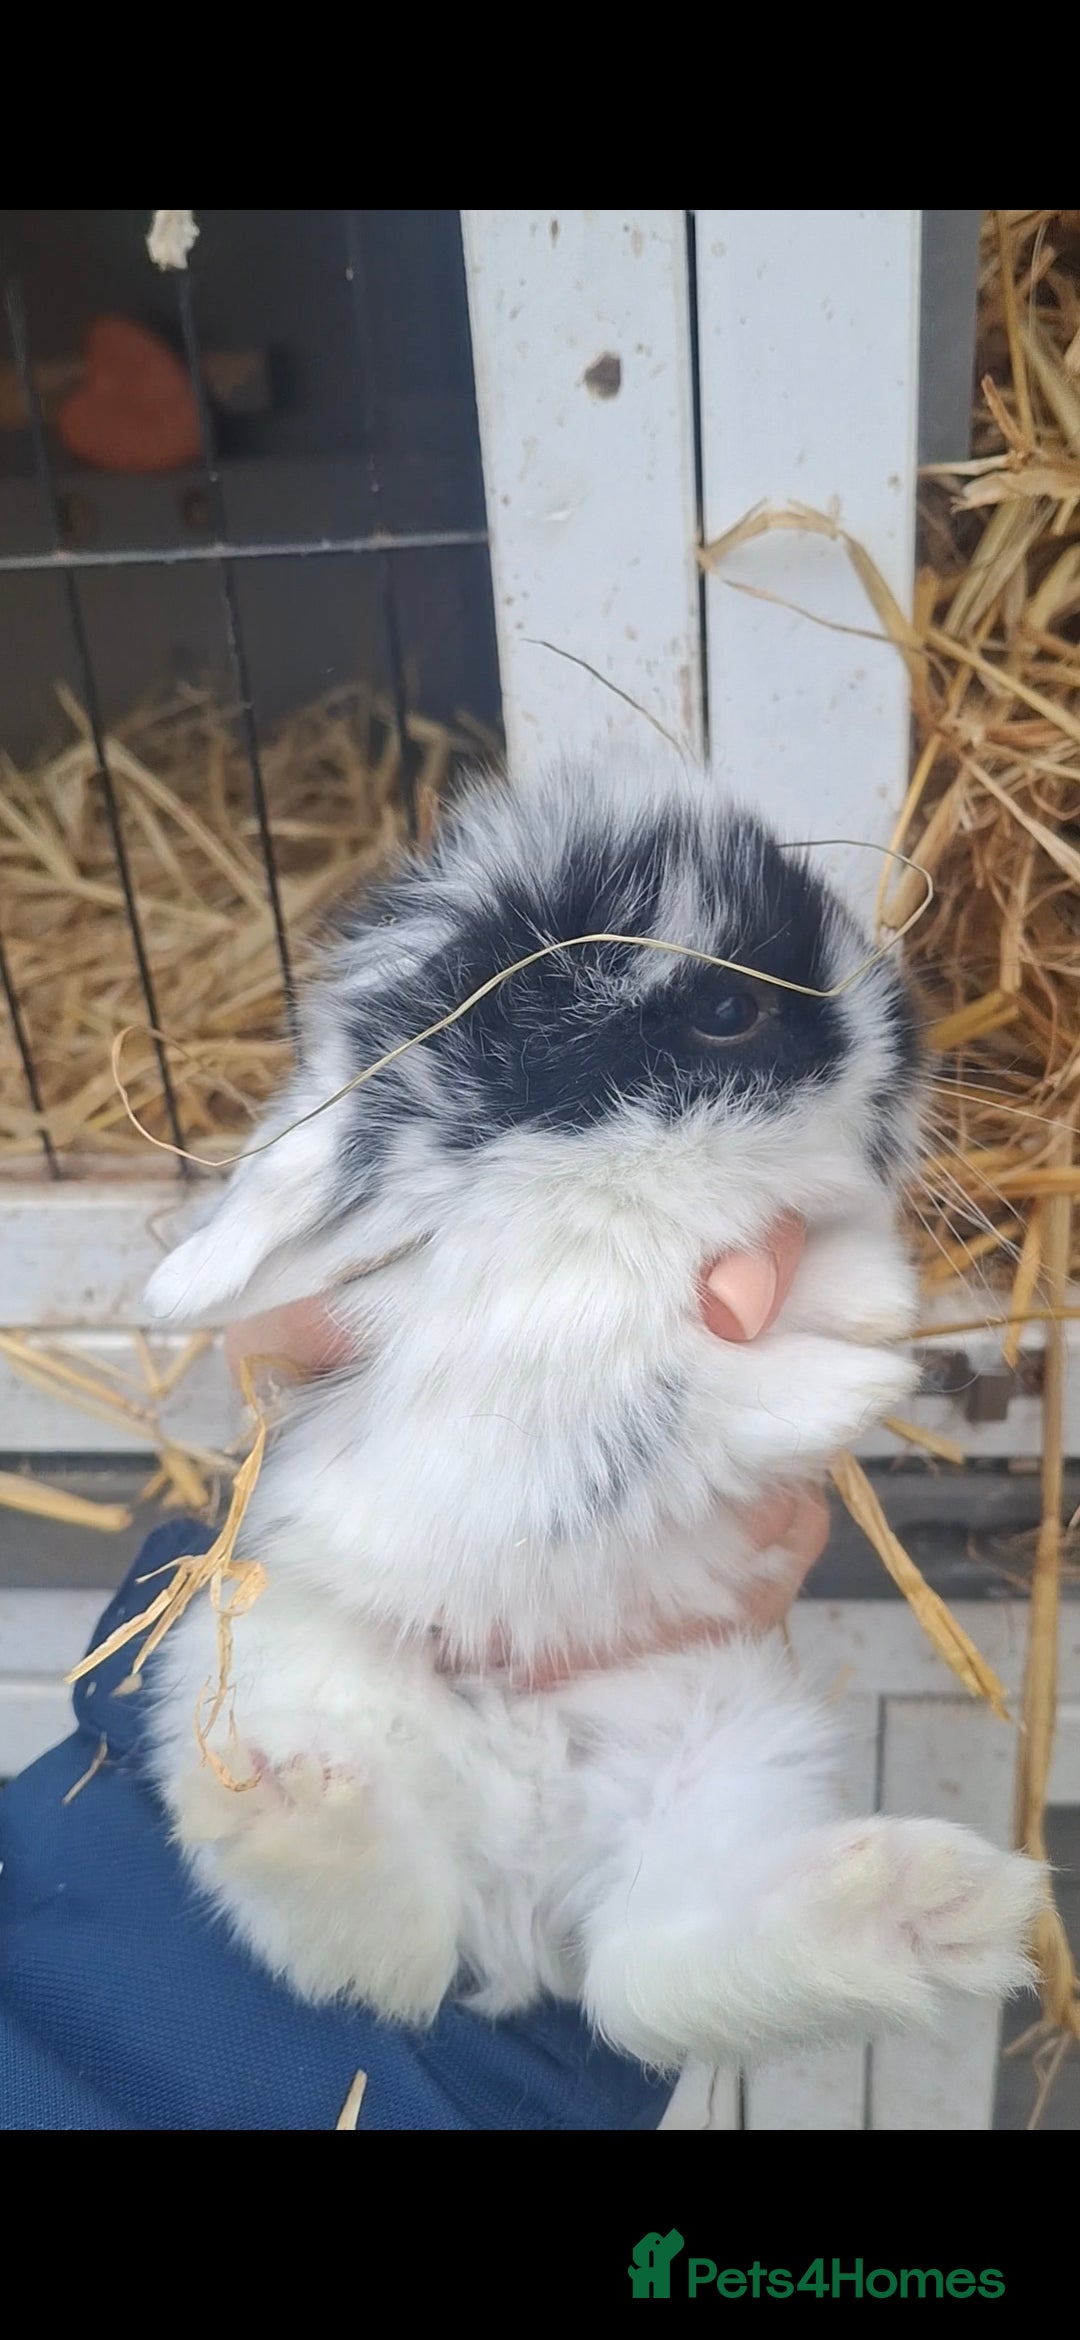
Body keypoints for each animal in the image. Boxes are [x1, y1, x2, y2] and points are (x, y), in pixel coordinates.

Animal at [142, 750, 1044, 2069]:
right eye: (725, 1010)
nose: (914, 1039)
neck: (600, 1197)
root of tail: (530, 1869)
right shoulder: (510, 1398)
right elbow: (659, 1388)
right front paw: (853, 1385)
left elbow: (798, 1289)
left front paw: (875, 1318)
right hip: (256, 1670)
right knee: (399, 1955)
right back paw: (286, 1810)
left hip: (728, 1744)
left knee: (649, 1971)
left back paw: (935, 1903)